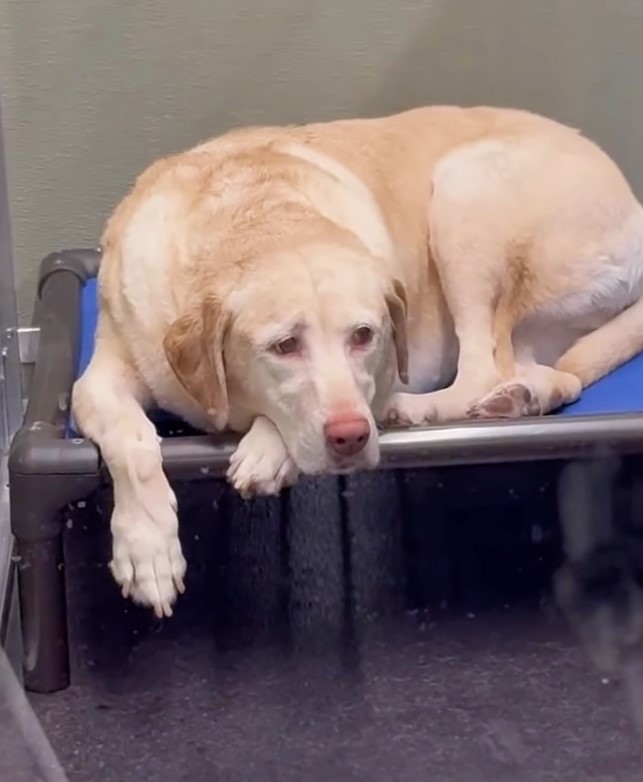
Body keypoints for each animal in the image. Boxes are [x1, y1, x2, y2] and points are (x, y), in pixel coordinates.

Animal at [73, 105, 643, 620]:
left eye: (364, 336)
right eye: (284, 345)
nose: (350, 436)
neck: (257, 215)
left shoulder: (385, 362)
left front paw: (266, 450)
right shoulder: (103, 373)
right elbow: (131, 438)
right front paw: (147, 546)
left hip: (464, 193)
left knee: (485, 364)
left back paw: (418, 410)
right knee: (553, 375)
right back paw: (519, 398)